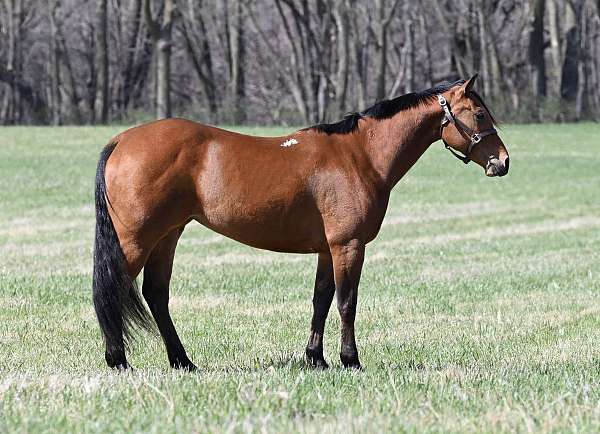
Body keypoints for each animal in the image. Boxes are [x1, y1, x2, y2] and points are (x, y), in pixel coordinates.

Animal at [94, 74, 510, 370]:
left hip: (168, 235)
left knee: (156, 294)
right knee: (113, 288)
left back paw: (183, 362)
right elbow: (347, 302)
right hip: (137, 239)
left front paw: (316, 358)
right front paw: (350, 360)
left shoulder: (328, 249)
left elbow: (321, 300)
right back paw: (119, 360)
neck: (359, 155)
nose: (503, 162)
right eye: (479, 114)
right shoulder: (348, 245)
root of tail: (121, 140)